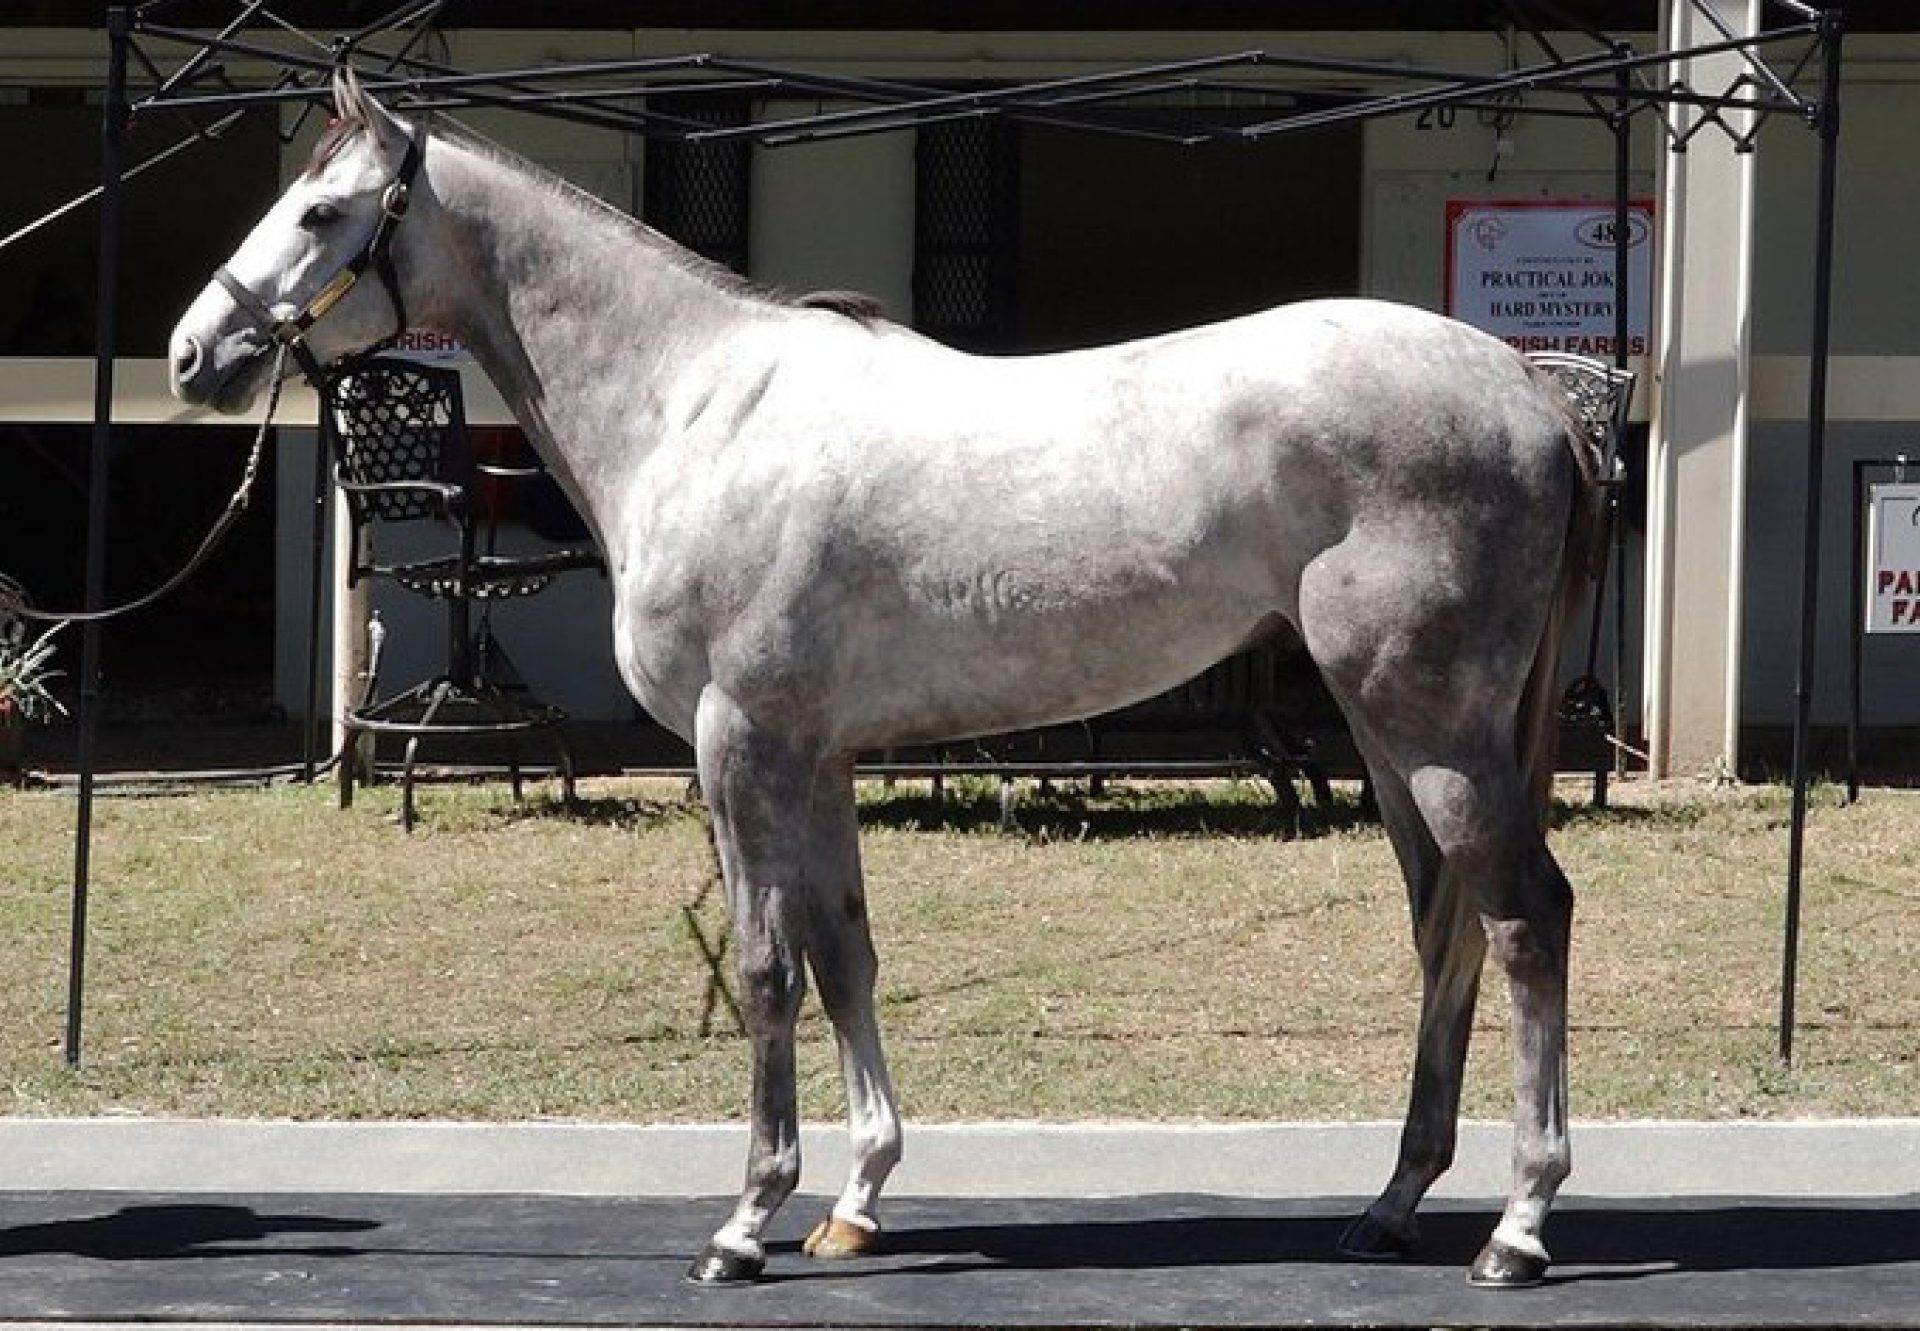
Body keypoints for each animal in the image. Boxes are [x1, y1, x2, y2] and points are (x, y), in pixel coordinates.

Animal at [168, 72, 1605, 1290]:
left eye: (322, 210)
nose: (194, 355)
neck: (699, 407)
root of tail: (1524, 388)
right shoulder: (812, 751)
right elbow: (845, 953)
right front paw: (855, 1199)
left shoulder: (740, 742)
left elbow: (764, 966)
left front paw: (747, 1220)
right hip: (1385, 725)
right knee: (1444, 922)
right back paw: (1396, 1201)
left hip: (1432, 721)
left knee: (1525, 914)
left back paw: (1520, 1226)